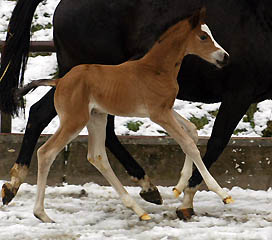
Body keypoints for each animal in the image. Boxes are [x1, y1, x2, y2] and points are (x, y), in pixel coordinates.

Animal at [0, 0, 272, 219]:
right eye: (203, 37)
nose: (224, 57)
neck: (155, 68)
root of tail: (61, 82)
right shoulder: (229, 97)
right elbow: (204, 143)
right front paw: (201, 196)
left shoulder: (165, 109)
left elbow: (192, 135)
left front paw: (180, 188)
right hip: (78, 113)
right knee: (47, 147)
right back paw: (36, 206)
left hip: (95, 113)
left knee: (93, 150)